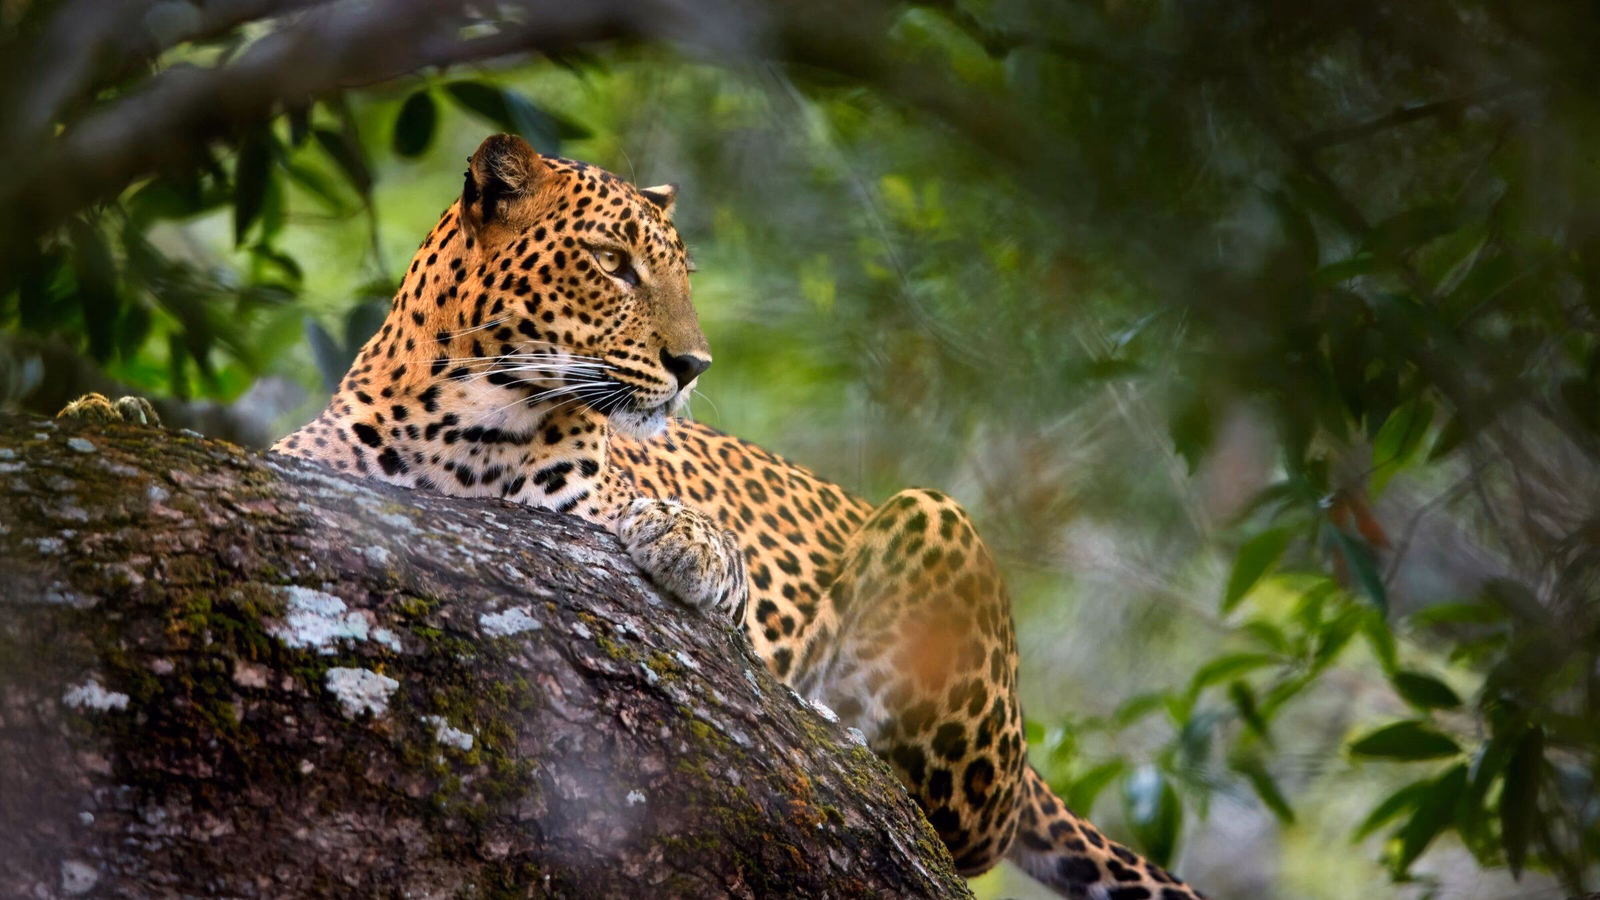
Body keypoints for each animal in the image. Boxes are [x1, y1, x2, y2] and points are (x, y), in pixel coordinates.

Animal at [68, 133, 1208, 900]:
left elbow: (656, 534)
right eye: (614, 263)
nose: (694, 364)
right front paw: (108, 410)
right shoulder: (319, 468)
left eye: (677, 273)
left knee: (961, 825)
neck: (456, 411)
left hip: (935, 531)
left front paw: (688, 542)